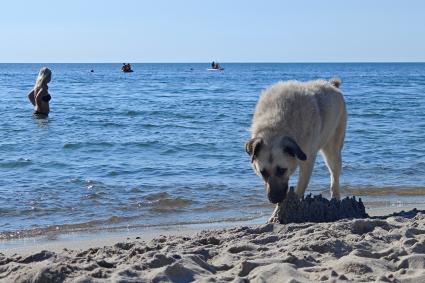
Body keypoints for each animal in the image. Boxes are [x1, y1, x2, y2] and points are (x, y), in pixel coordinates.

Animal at [245, 78, 344, 206]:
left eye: (282, 170)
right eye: (263, 172)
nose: (274, 199)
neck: (275, 127)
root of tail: (331, 84)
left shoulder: (307, 161)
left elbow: (300, 189)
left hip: (333, 148)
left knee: (334, 173)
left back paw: (335, 197)